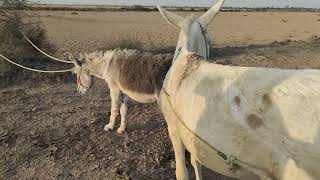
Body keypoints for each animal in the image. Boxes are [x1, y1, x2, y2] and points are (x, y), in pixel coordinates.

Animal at [0, 37, 172, 134]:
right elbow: (123, 111)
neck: (107, 64)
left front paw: (109, 127)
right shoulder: (123, 91)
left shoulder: (114, 89)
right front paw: (122, 129)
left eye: (75, 73)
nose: (79, 92)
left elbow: (114, 110)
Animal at [158, 0, 320, 180]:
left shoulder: (174, 130)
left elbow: (183, 171)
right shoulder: (186, 134)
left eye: (209, 40)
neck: (185, 60)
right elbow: (195, 163)